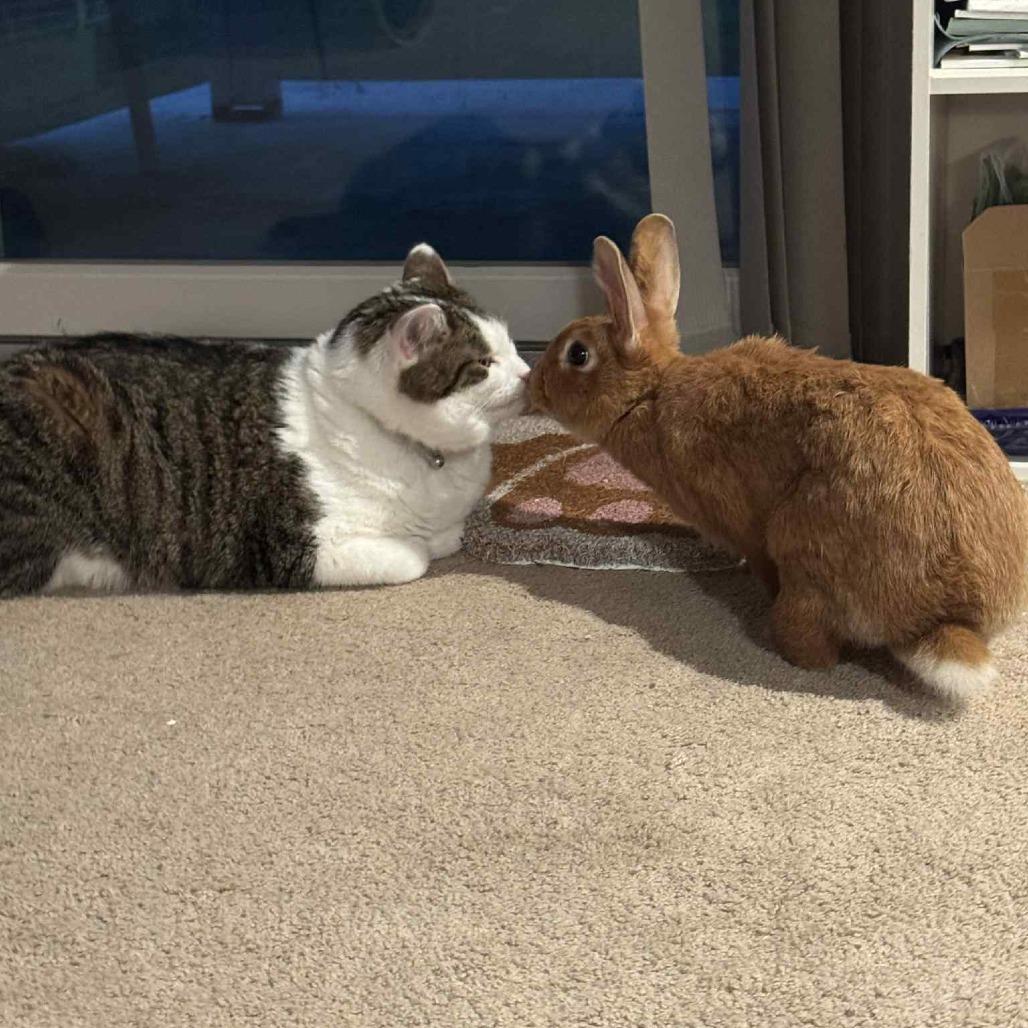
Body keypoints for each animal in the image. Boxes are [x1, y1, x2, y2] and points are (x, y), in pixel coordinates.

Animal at [528, 213, 1028, 701]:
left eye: (578, 354)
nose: (531, 385)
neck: (649, 394)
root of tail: (948, 617)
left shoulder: (737, 518)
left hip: (801, 545)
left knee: (814, 646)